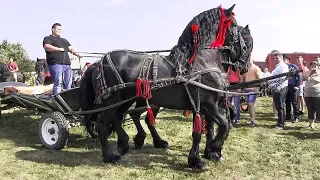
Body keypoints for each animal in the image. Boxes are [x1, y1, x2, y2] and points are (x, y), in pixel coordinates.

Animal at [79, 4, 252, 170]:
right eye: (234, 25)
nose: (245, 66)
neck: (201, 62)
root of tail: (99, 62)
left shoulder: (201, 105)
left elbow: (201, 131)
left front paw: (200, 157)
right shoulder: (207, 104)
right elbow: (223, 124)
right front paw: (212, 151)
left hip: (127, 99)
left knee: (119, 118)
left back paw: (130, 142)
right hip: (113, 100)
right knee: (103, 125)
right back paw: (110, 156)